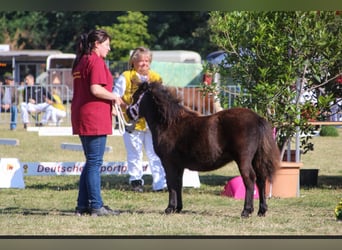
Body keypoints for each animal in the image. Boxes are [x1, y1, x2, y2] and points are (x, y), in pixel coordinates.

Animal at [127, 82, 280, 217]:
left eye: (136, 97)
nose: (128, 112)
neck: (168, 123)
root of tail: (257, 118)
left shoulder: (168, 163)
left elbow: (171, 183)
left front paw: (170, 208)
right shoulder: (179, 166)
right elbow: (178, 184)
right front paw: (178, 208)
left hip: (243, 160)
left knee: (250, 179)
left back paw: (246, 211)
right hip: (256, 159)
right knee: (261, 180)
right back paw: (261, 211)